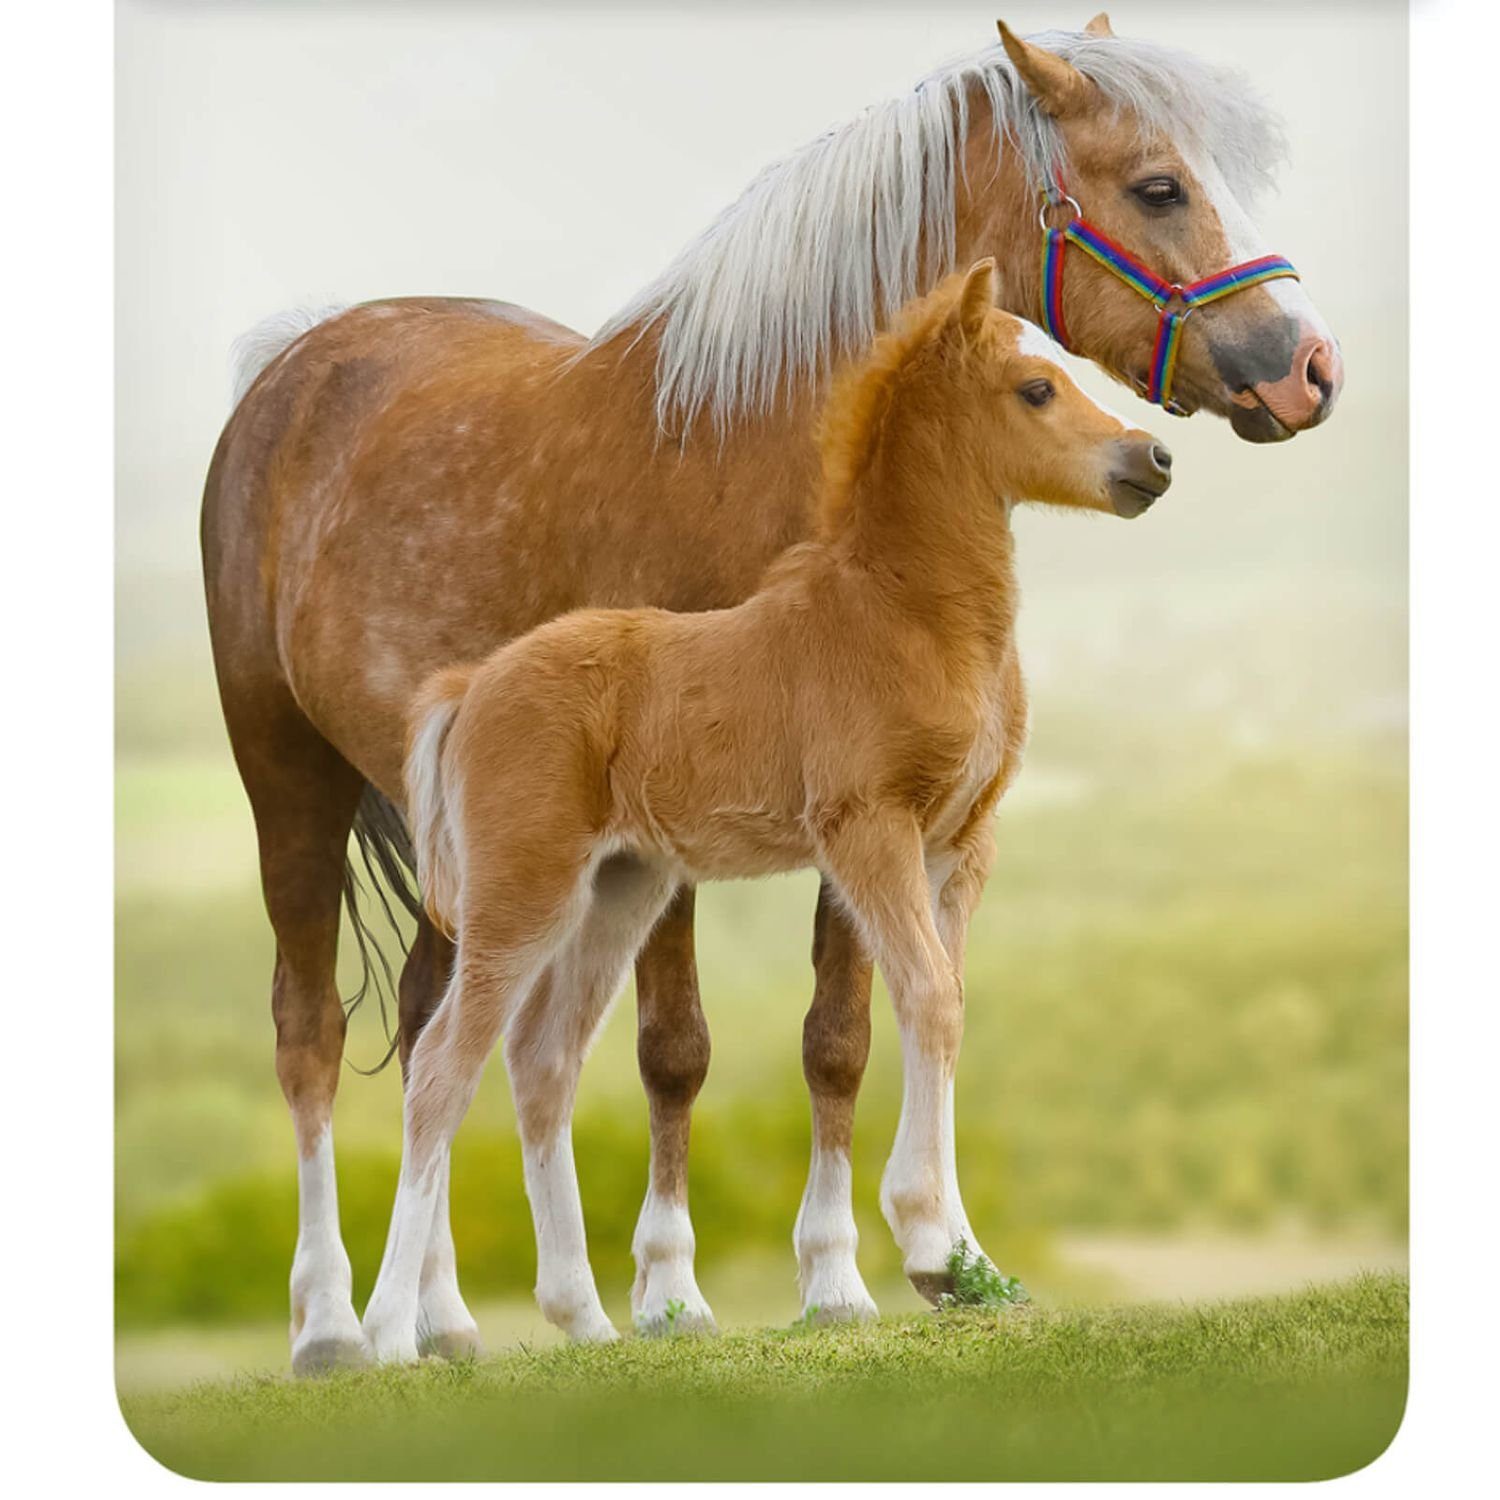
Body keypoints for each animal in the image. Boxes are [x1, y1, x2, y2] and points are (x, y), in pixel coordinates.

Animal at [358, 262, 1172, 1358]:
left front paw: (967, 1265)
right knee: (443, 1069)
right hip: (522, 890)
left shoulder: (961, 845)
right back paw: (391, 1334)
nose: (1152, 458)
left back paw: (588, 1320)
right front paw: (928, 1250)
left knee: (544, 1060)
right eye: (1036, 389)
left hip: (621, 887)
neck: (905, 613)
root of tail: (472, 684)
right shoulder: (870, 829)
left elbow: (947, 1005)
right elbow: (929, 999)